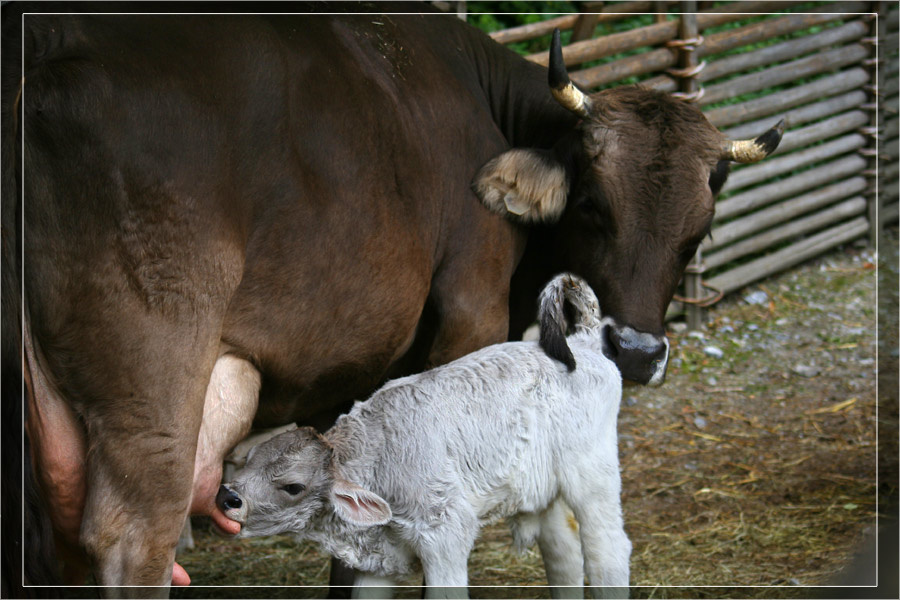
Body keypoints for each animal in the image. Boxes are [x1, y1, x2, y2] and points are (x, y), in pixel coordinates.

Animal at [2, 6, 783, 597]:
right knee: (134, 535)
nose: (638, 352)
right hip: (155, 391)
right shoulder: (468, 317)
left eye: (699, 229)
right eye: (592, 205)